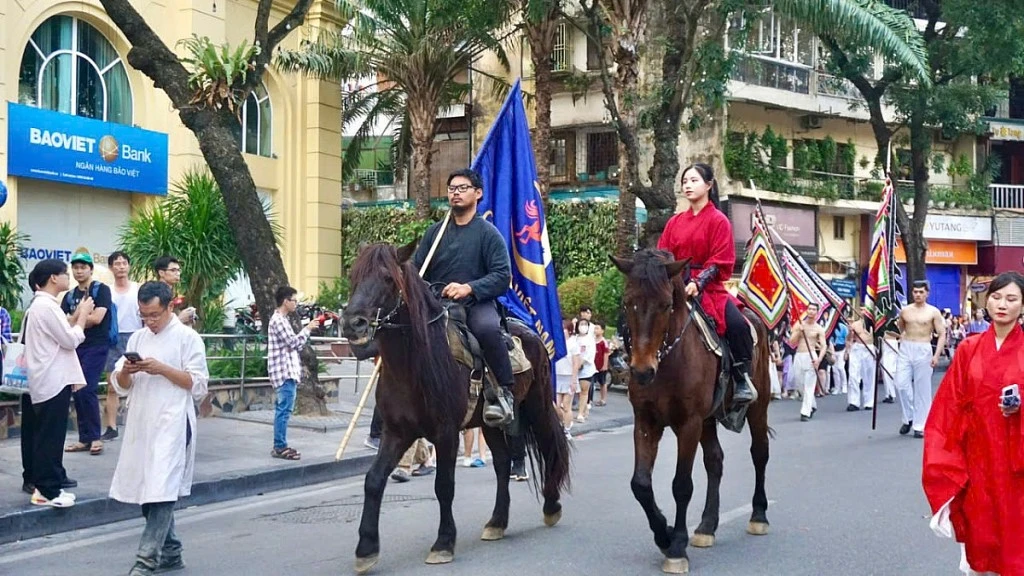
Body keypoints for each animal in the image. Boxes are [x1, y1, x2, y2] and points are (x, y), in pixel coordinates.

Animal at [342, 239, 569, 569]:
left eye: (387, 278)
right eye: (353, 276)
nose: (352, 324)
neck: (414, 364)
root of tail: (531, 333)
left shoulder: (446, 433)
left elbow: (444, 486)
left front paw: (444, 543)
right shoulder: (396, 432)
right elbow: (373, 480)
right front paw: (366, 549)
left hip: (536, 405)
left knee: (548, 446)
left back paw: (551, 506)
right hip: (489, 423)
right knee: (502, 463)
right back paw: (497, 522)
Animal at [610, 249, 770, 569]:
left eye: (666, 304)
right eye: (627, 302)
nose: (642, 371)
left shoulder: (689, 424)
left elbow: (681, 485)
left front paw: (676, 547)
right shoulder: (646, 422)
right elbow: (640, 484)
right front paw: (664, 534)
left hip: (757, 407)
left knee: (759, 453)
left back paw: (758, 514)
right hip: (708, 421)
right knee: (715, 460)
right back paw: (707, 526)